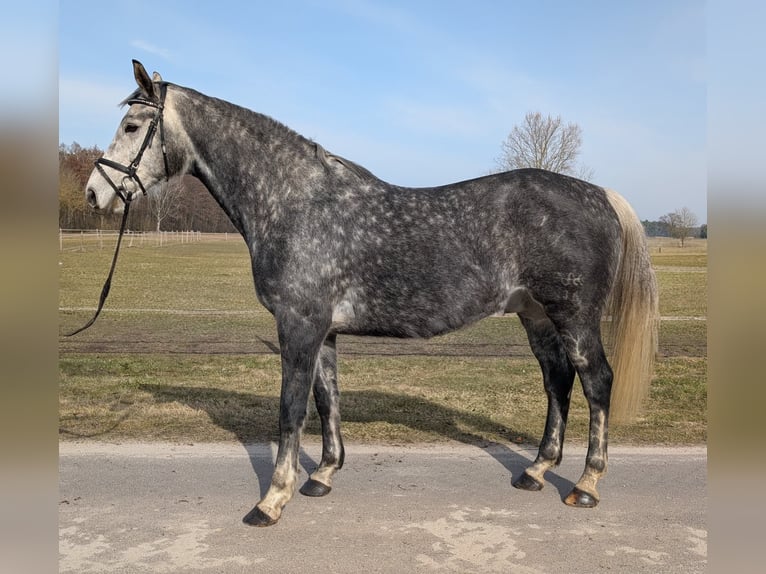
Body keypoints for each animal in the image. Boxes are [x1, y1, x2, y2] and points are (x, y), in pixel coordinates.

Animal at [84, 60, 658, 527]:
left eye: (132, 126)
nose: (94, 193)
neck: (294, 201)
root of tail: (601, 194)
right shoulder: (323, 331)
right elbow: (326, 399)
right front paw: (322, 476)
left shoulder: (299, 325)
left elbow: (291, 409)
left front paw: (271, 500)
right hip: (535, 315)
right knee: (557, 382)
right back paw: (537, 471)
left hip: (574, 316)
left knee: (597, 382)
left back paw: (586, 485)